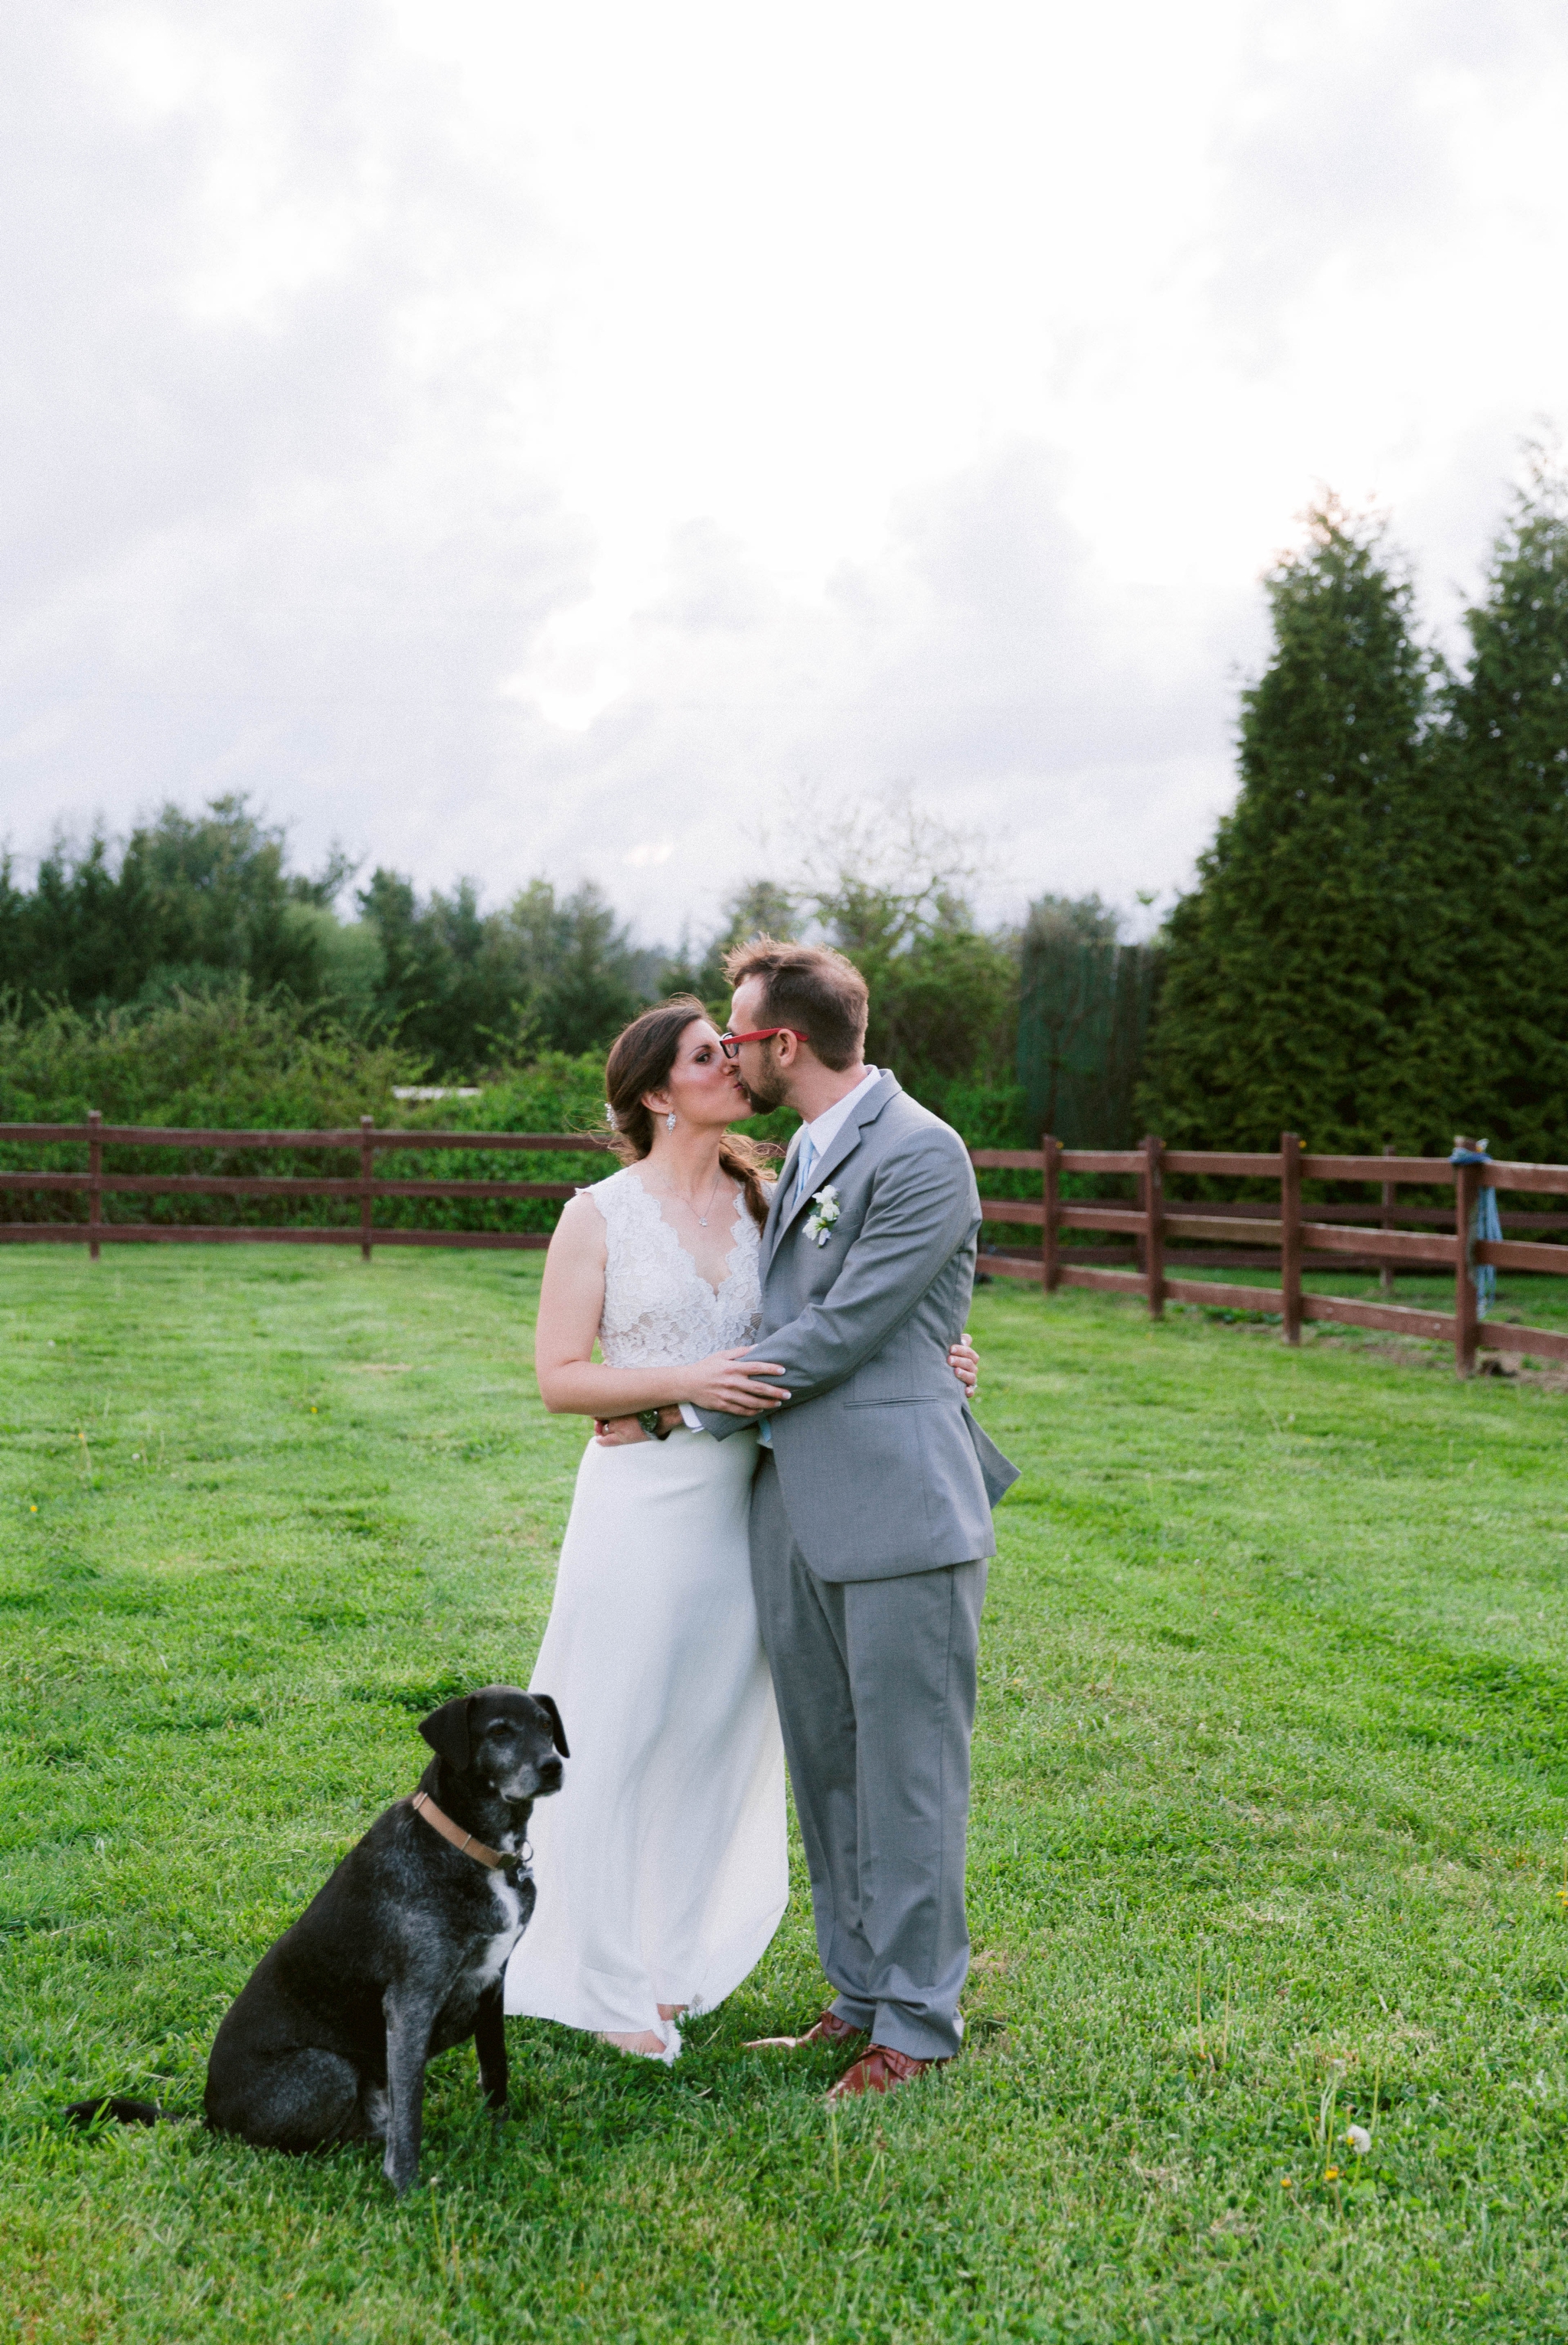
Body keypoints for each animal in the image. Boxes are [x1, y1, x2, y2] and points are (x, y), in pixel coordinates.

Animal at [70, 1688, 569, 2194]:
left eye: (547, 1725)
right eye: (499, 1731)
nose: (553, 1766)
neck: (472, 1846)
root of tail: (210, 2120)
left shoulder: (493, 1983)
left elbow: (496, 2068)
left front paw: (499, 2133)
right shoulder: (412, 2002)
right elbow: (410, 2113)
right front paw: (406, 2189)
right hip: (328, 2068)